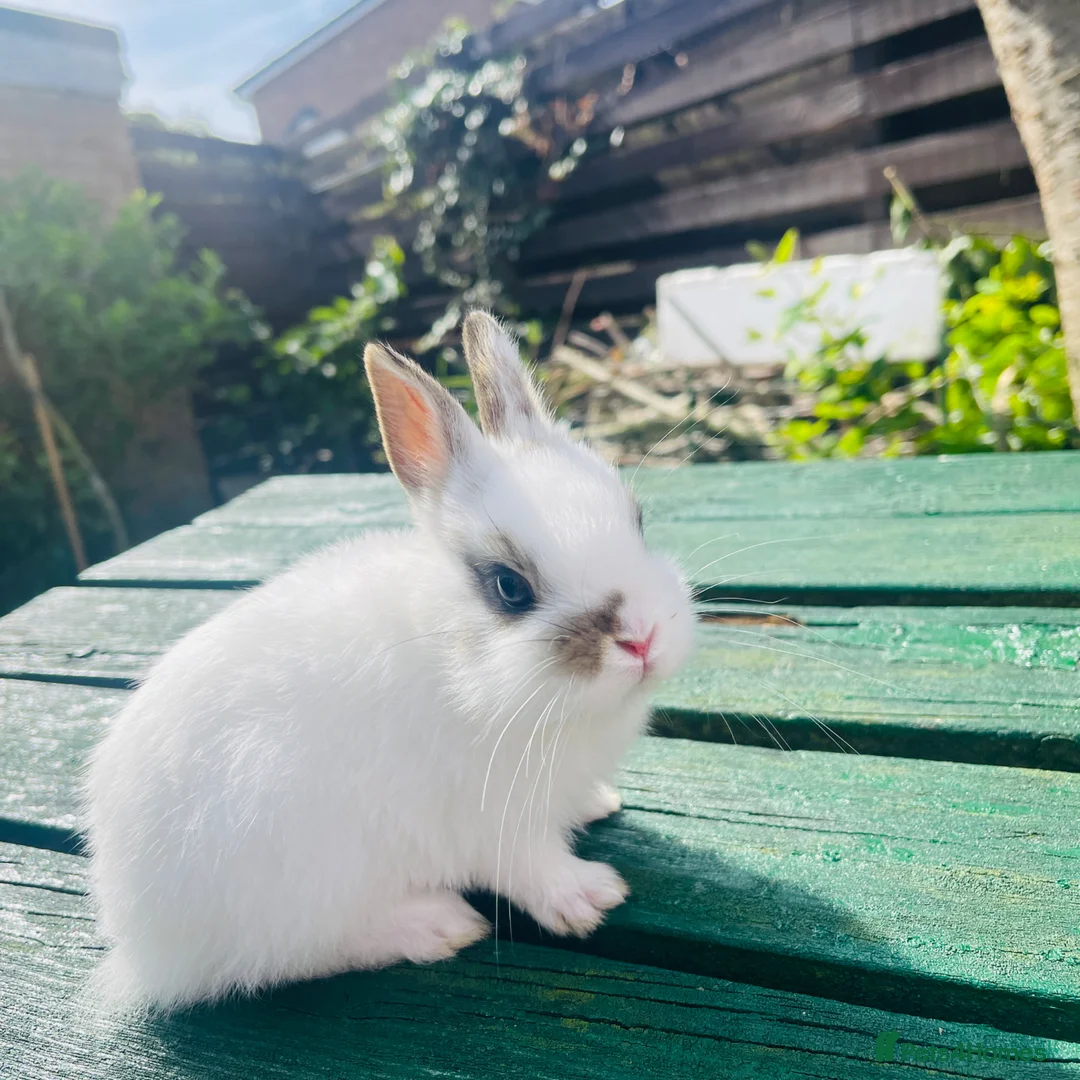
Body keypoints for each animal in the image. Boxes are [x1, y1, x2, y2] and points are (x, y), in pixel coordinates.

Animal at [83, 311, 696, 1011]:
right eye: (509, 588)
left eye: (637, 521)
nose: (643, 638)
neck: (458, 663)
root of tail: (140, 941)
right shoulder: (492, 821)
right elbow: (531, 867)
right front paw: (591, 897)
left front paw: (598, 804)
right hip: (305, 878)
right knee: (299, 954)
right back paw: (437, 924)